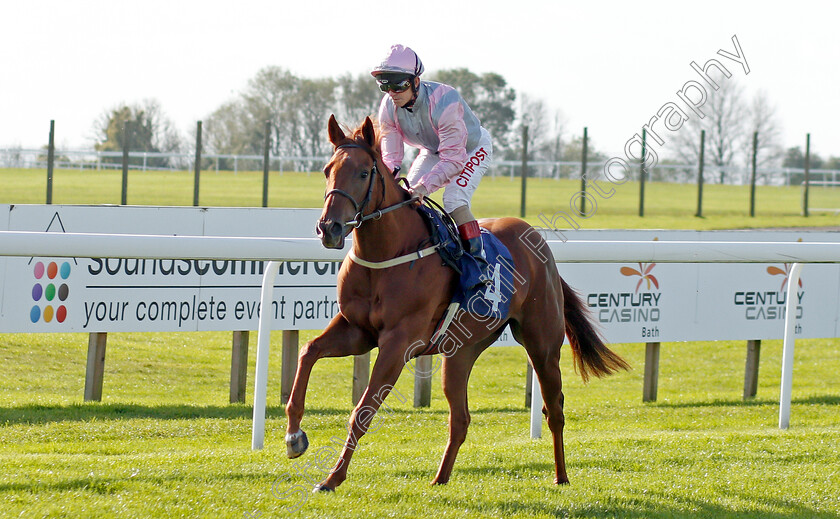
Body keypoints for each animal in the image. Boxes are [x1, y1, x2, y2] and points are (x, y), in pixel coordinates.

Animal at [284, 116, 632, 494]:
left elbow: (361, 412)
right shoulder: (357, 331)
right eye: (326, 170)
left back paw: (561, 475)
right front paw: (294, 437)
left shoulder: (399, 343)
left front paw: (332, 478)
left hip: (542, 344)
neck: (387, 255)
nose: (329, 228)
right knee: (461, 419)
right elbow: (307, 351)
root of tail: (539, 243)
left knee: (554, 410)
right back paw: (440, 477)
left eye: (363, 173)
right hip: (461, 351)